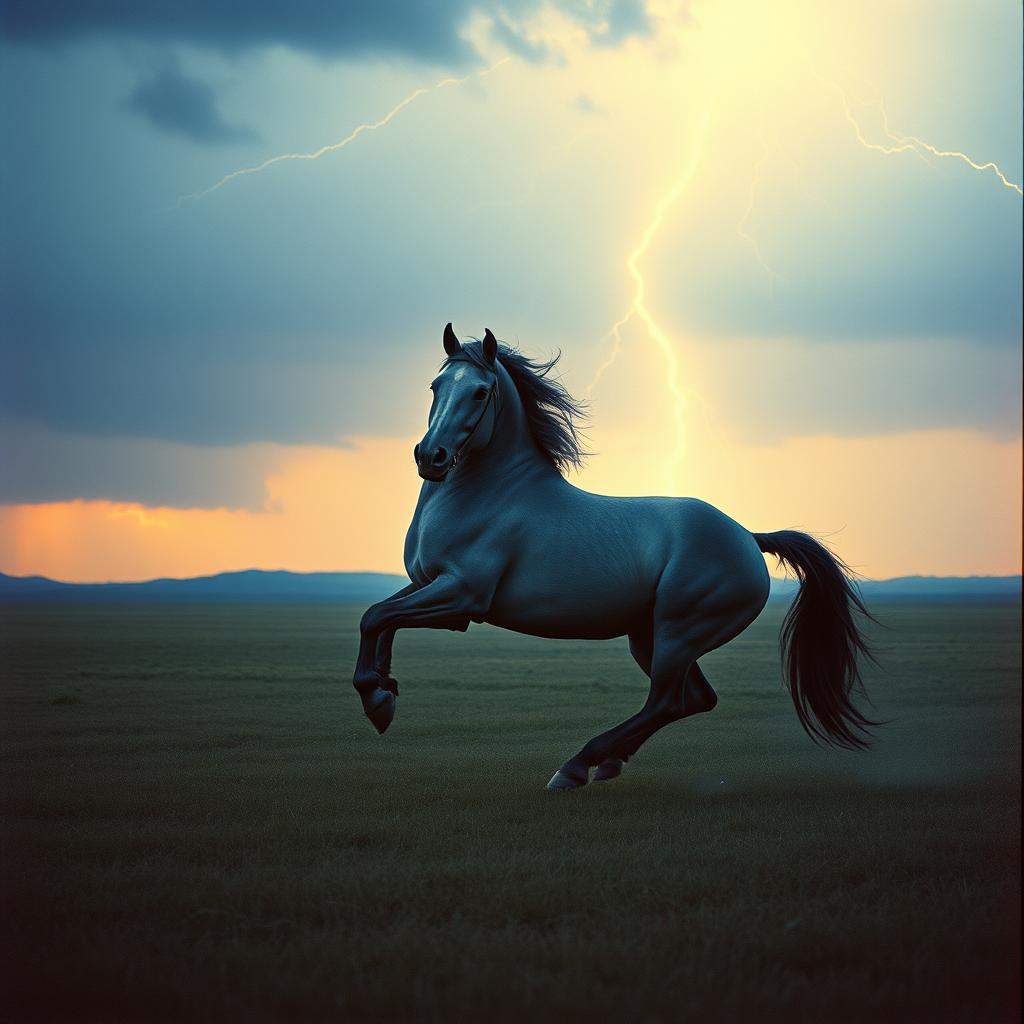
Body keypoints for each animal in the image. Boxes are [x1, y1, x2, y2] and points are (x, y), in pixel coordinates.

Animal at [352, 324, 876, 790]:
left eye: (480, 393)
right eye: (436, 385)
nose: (431, 457)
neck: (492, 494)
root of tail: (748, 537)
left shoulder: (462, 598)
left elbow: (376, 616)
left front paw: (377, 697)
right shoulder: (429, 586)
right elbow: (380, 618)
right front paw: (383, 693)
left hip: (679, 633)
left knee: (666, 701)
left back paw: (576, 767)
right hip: (649, 636)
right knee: (695, 699)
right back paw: (607, 762)